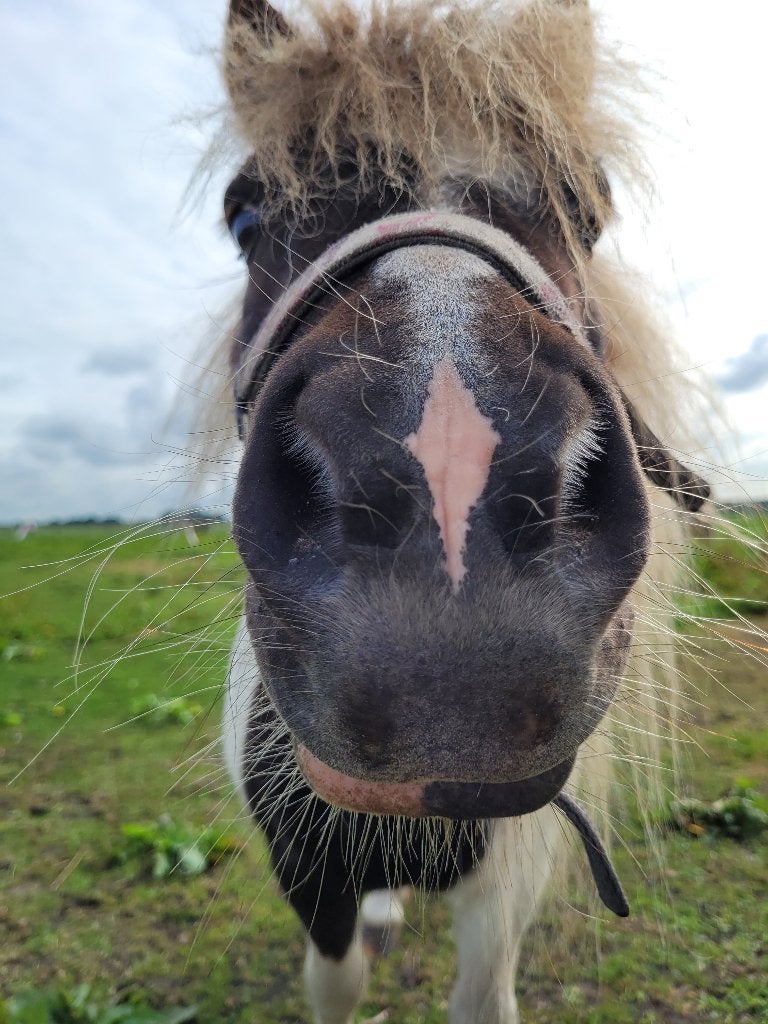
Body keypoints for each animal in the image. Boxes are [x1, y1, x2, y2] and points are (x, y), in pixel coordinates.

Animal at [215, 1, 712, 1020]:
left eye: (588, 209)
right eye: (244, 215)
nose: (451, 495)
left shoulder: (507, 881)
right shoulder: (309, 877)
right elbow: (337, 978)